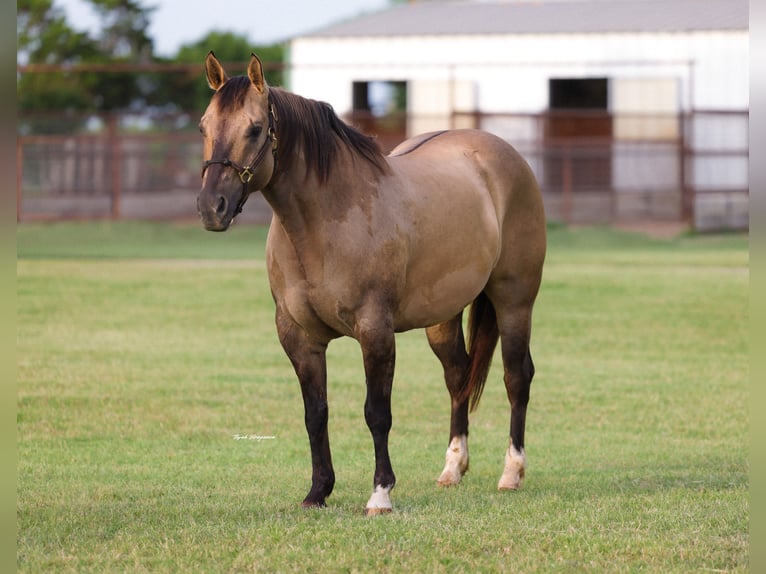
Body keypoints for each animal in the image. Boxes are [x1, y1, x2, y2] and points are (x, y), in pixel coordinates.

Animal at [197, 51, 546, 515]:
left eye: (254, 128)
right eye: (204, 126)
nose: (211, 208)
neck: (323, 222)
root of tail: (506, 156)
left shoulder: (375, 330)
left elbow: (376, 413)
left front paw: (380, 494)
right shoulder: (298, 337)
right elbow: (316, 413)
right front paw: (318, 492)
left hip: (514, 300)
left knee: (516, 377)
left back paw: (512, 473)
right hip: (443, 316)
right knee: (458, 376)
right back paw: (452, 468)